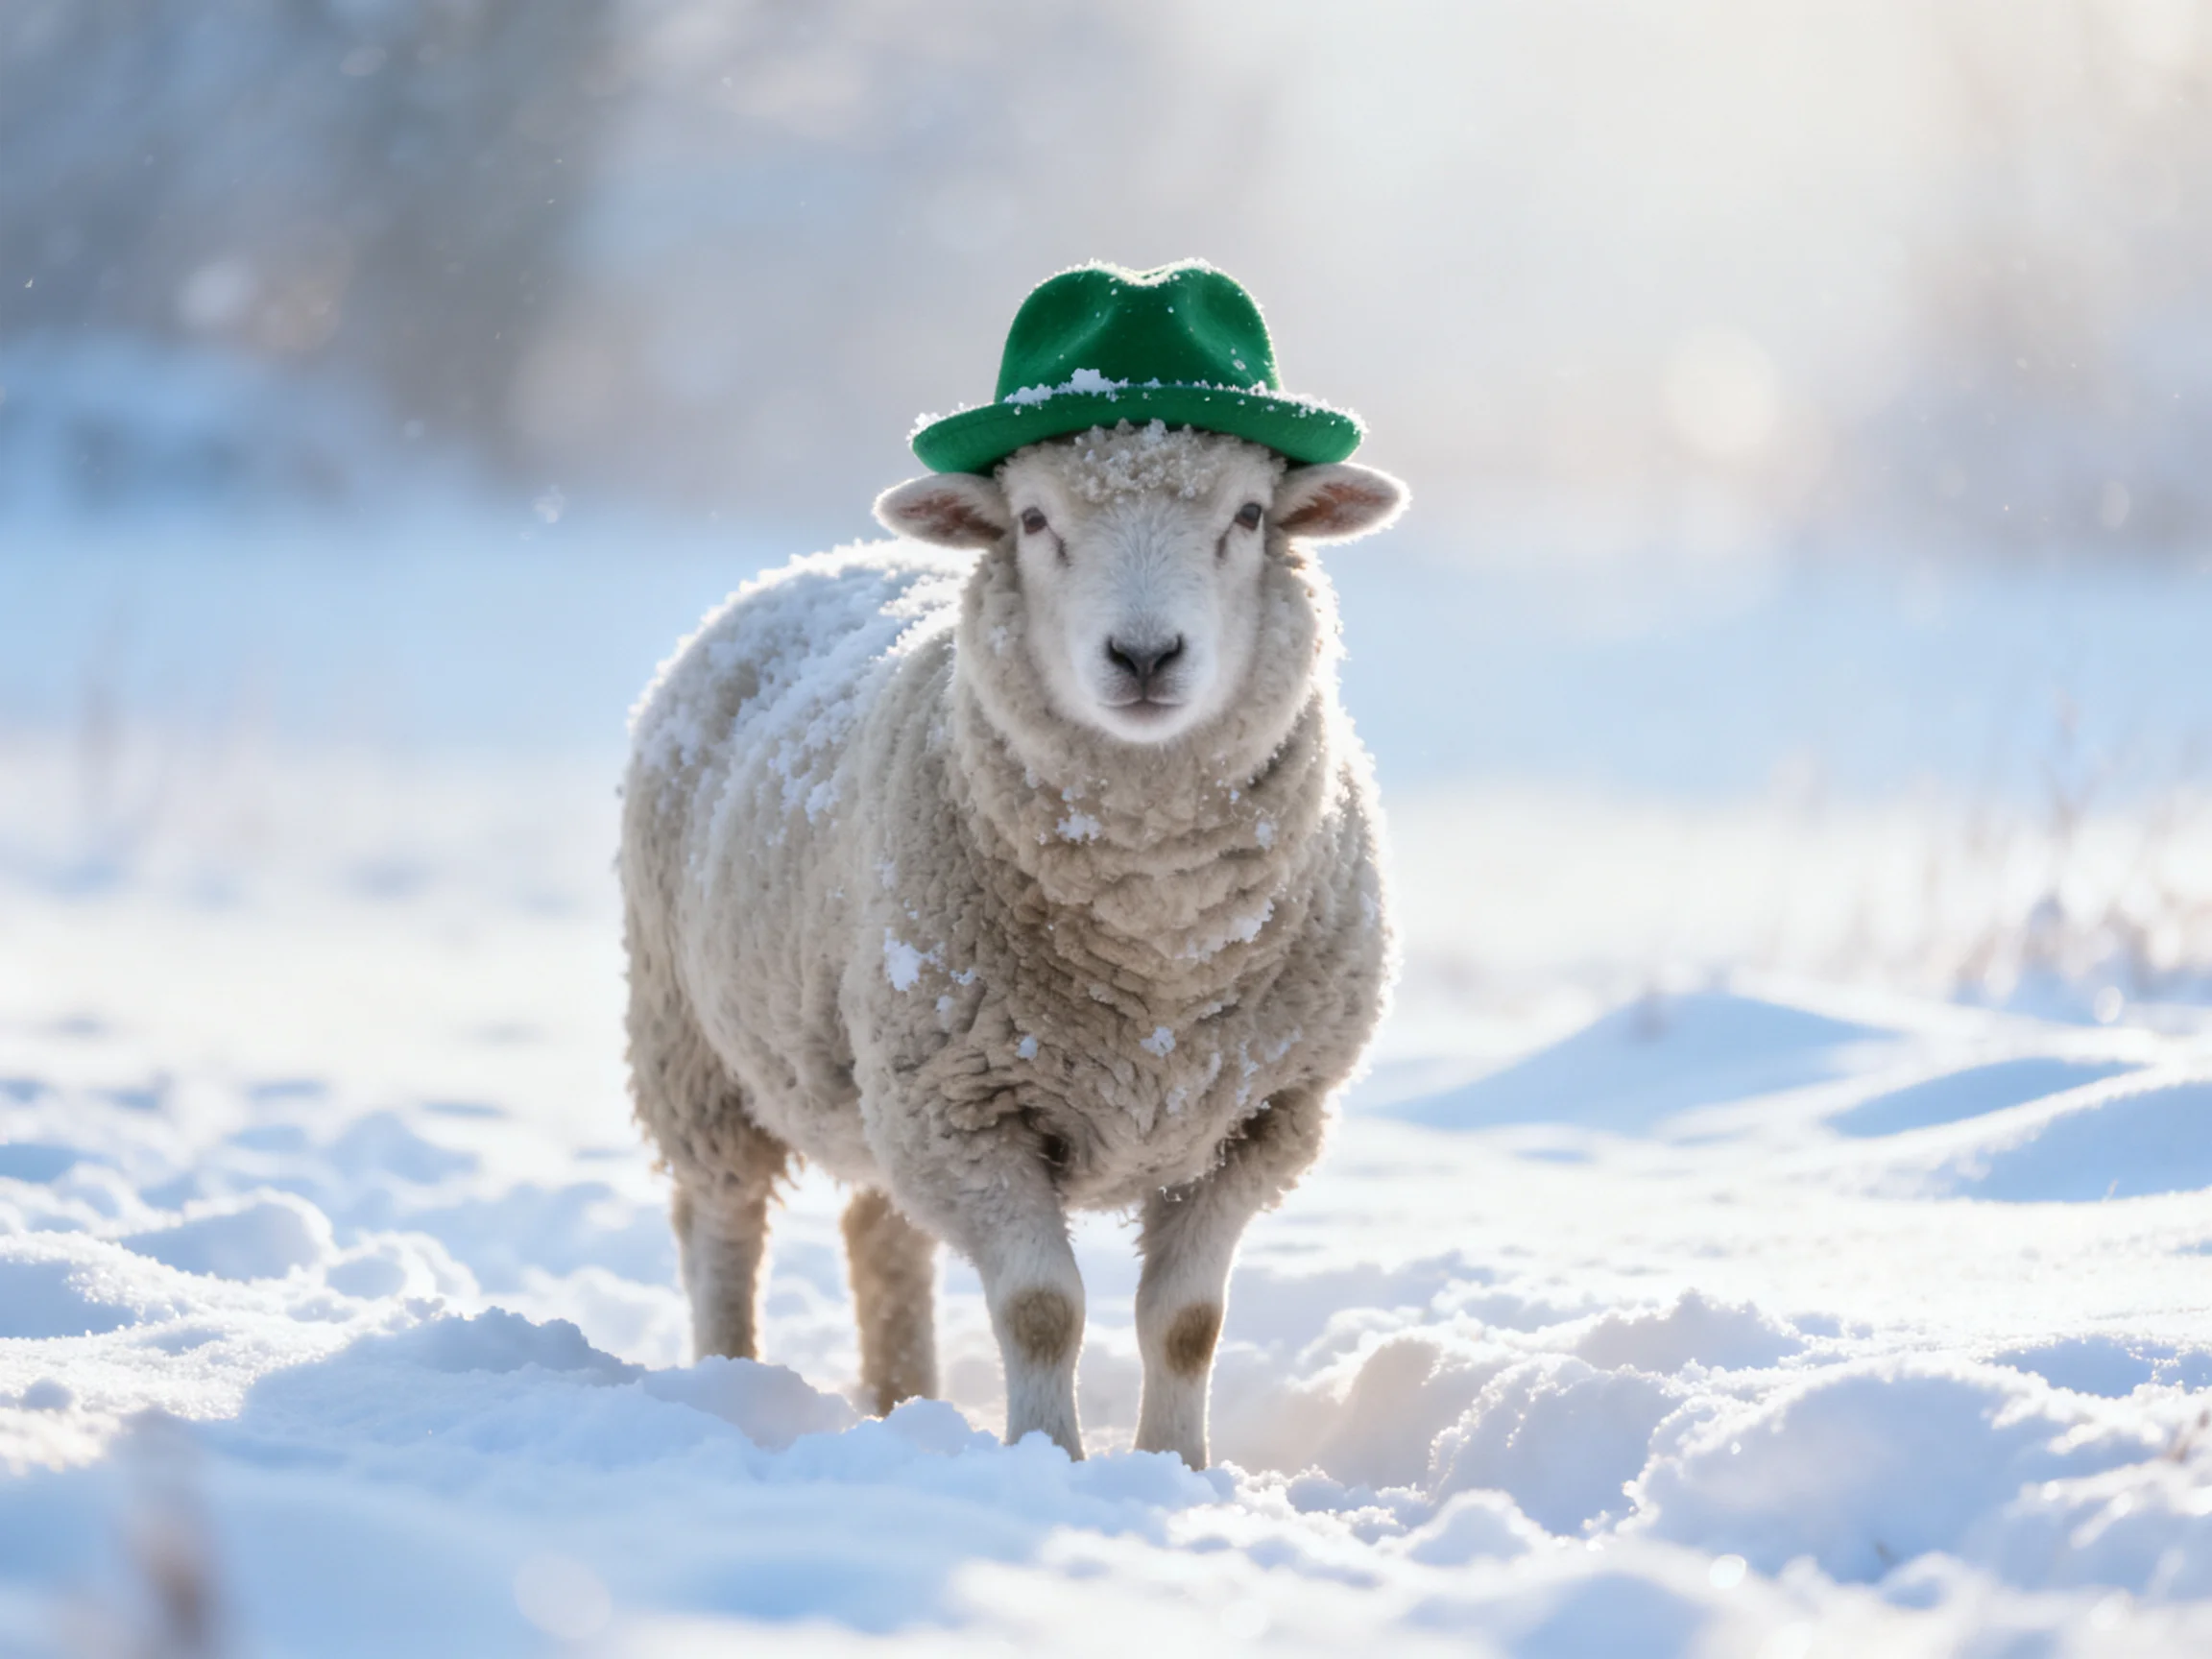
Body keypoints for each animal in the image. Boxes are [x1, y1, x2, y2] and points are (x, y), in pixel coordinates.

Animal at [621, 417, 1406, 1467]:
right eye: (1033, 519)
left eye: (1248, 514)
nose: (1145, 655)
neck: (1156, 954)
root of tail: (812, 564)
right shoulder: (964, 1109)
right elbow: (1042, 1312)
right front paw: (1051, 1461)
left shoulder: (1263, 1118)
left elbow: (1186, 1323)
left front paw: (1176, 1469)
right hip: (694, 1048)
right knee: (720, 1219)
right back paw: (728, 1382)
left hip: (873, 1081)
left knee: (880, 1236)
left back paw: (904, 1404)